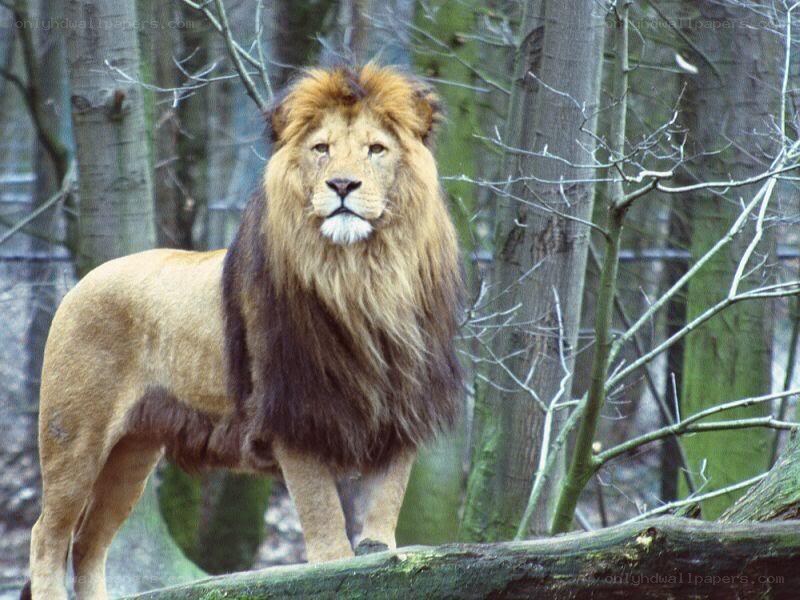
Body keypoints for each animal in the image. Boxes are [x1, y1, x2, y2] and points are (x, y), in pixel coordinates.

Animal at [24, 64, 463, 600]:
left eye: (376, 149)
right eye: (321, 148)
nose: (342, 184)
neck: (361, 277)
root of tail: (79, 284)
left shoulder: (401, 412)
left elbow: (383, 518)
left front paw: (383, 556)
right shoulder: (294, 417)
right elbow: (327, 539)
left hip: (132, 452)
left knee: (89, 541)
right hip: (74, 437)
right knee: (48, 534)